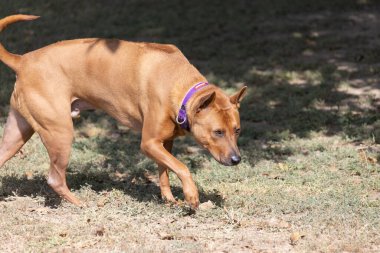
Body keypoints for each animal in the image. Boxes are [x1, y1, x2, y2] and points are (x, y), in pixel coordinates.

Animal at [0, 14, 246, 208]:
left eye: (237, 130)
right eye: (218, 132)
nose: (237, 160)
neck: (180, 85)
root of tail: (22, 60)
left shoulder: (164, 143)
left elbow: (165, 172)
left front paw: (169, 199)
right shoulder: (149, 143)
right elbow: (182, 167)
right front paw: (191, 196)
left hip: (17, 133)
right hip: (60, 132)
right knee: (55, 178)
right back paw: (79, 203)